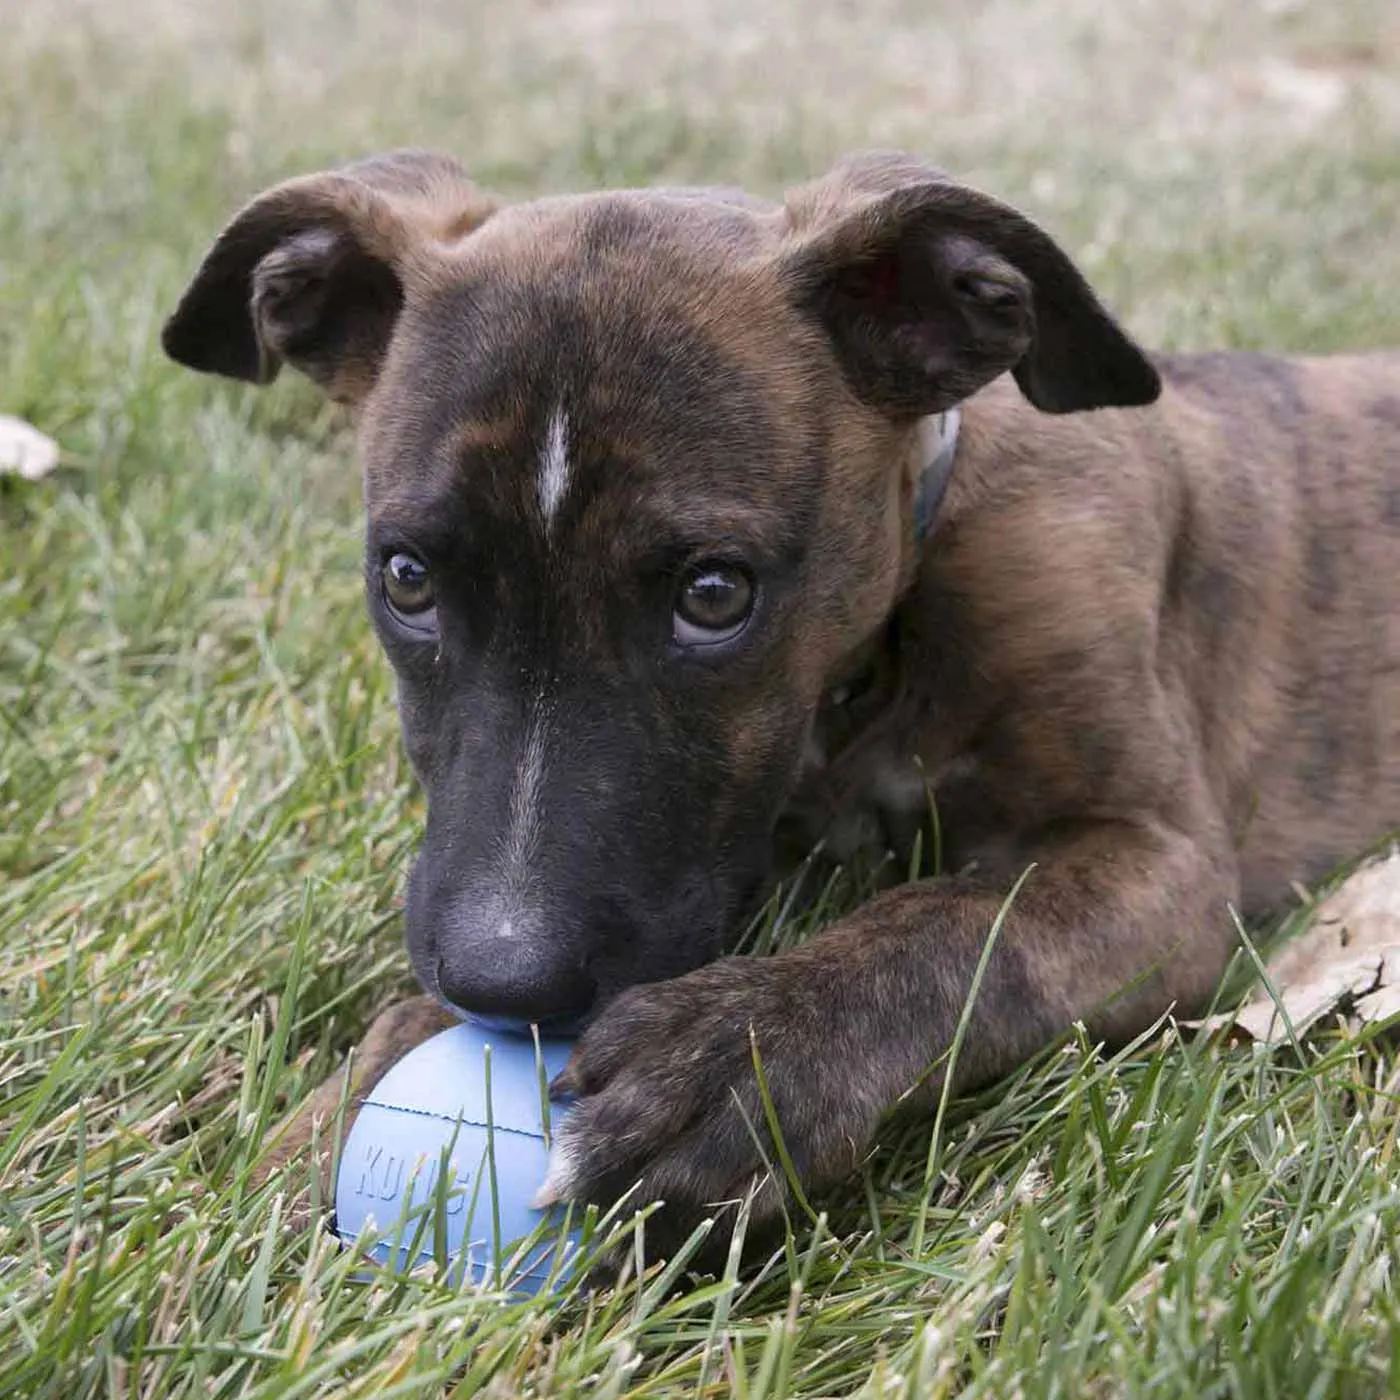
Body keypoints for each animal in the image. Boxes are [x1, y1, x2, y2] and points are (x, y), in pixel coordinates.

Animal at [161, 150, 1400, 1260]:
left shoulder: (1159, 860)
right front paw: (334, 1111)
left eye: (714, 594)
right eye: (406, 578)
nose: (504, 983)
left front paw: (737, 1057)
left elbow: (959, 920)